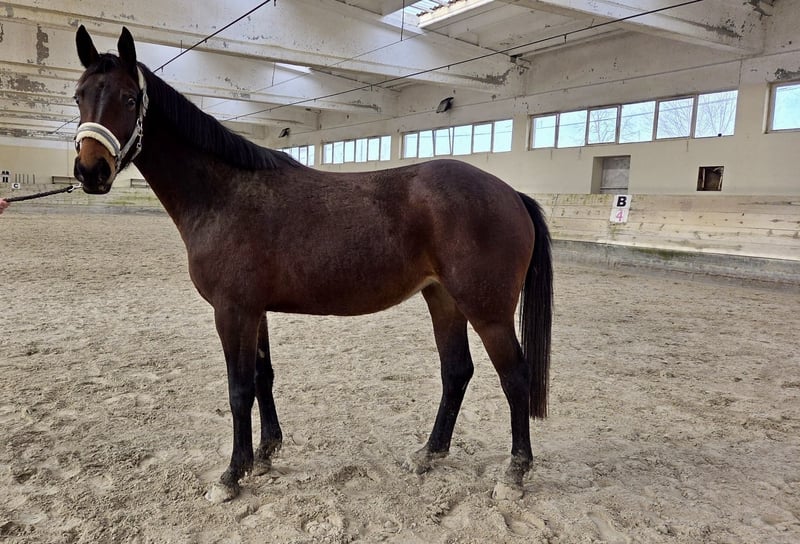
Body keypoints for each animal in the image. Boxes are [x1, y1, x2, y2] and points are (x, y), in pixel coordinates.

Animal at [72, 26, 553, 503]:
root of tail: (511, 194)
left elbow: (239, 390)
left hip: (487, 311)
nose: (91, 170)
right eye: (78, 96)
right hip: (444, 300)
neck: (224, 194)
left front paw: (232, 474)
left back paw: (514, 472)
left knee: (515, 376)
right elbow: (262, 377)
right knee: (456, 372)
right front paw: (266, 453)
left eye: (129, 99)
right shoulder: (255, 312)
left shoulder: (233, 311)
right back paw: (429, 454)